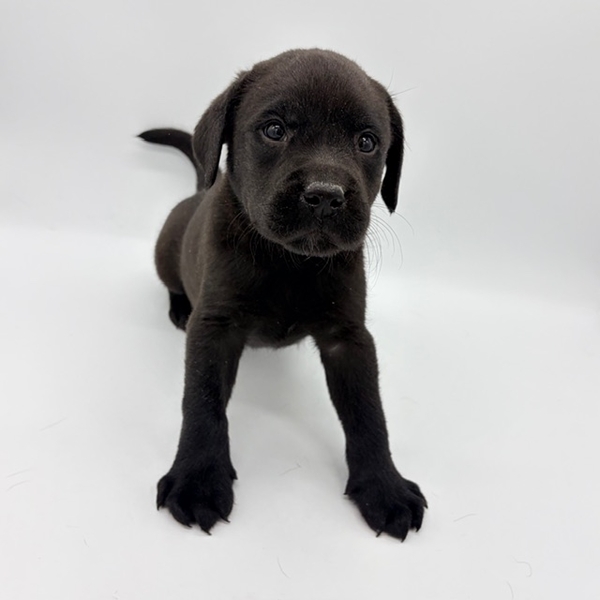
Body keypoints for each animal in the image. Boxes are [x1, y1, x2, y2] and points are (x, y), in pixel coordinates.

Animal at [140, 48, 426, 540]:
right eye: (275, 130)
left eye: (367, 142)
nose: (326, 195)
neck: (290, 262)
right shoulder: (214, 327)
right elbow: (201, 402)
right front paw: (198, 479)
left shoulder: (348, 338)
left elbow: (369, 414)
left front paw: (383, 486)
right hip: (165, 251)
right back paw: (178, 307)